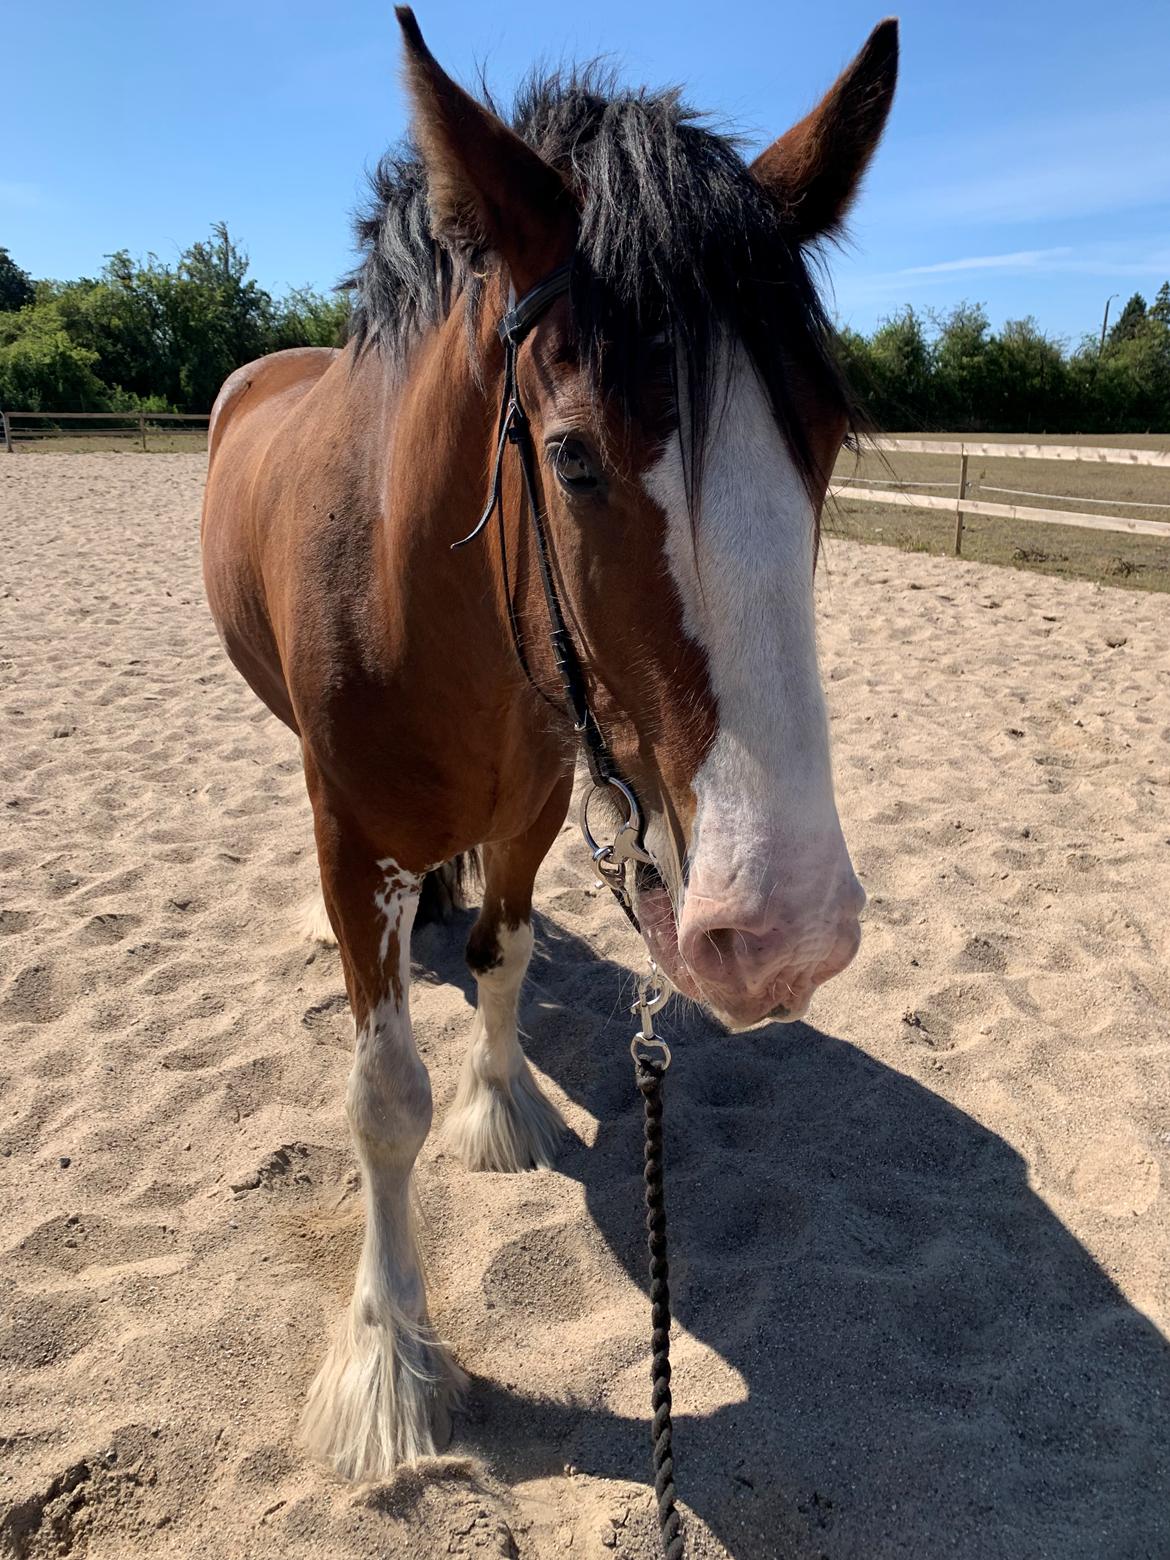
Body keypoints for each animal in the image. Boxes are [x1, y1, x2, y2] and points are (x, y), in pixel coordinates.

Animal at [199, 9, 898, 1485]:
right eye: (573, 459)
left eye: (819, 449)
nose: (786, 932)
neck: (420, 593)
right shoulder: (351, 838)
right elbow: (381, 1099)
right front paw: (391, 1361)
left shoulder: (533, 804)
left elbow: (504, 958)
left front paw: (503, 1101)